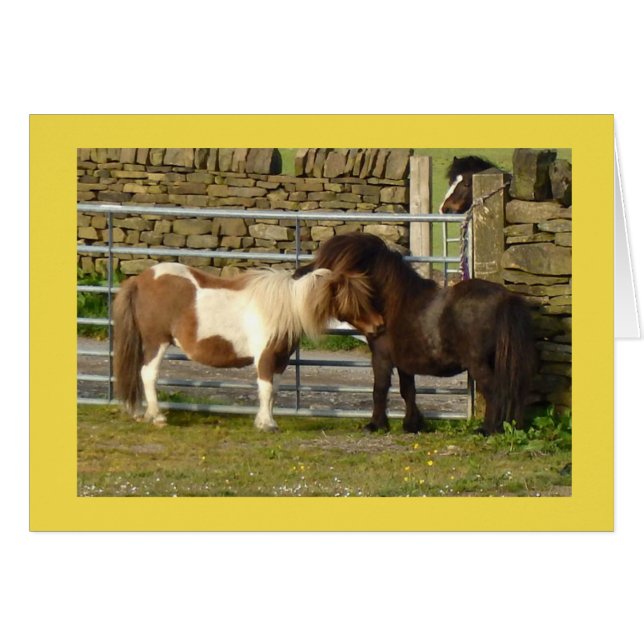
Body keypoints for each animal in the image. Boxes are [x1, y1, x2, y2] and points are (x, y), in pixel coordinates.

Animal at [113, 262, 384, 430]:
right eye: (354, 300)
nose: (379, 325)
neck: (285, 307)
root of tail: (139, 280)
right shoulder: (265, 357)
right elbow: (266, 390)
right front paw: (267, 425)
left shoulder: (279, 361)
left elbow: (274, 391)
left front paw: (265, 420)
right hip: (156, 342)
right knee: (148, 374)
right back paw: (157, 416)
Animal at [294, 233, 536, 435]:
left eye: (326, 268)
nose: (297, 273)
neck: (393, 303)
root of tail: (505, 298)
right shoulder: (404, 363)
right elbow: (407, 390)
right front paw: (412, 424)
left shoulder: (381, 357)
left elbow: (379, 389)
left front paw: (376, 424)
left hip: (478, 364)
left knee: (495, 392)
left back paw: (487, 429)